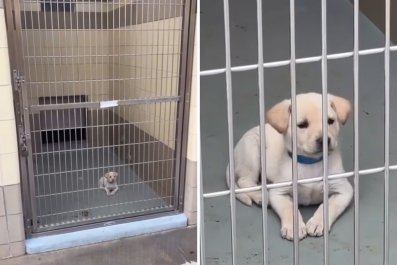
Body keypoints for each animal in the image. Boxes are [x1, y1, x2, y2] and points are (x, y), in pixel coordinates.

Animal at [226, 92, 352, 239]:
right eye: (302, 125)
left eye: (330, 121)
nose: (325, 140)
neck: (311, 162)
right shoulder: (279, 192)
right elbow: (289, 208)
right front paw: (294, 227)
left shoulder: (344, 190)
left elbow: (328, 205)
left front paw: (317, 223)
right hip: (252, 151)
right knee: (244, 181)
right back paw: (261, 196)